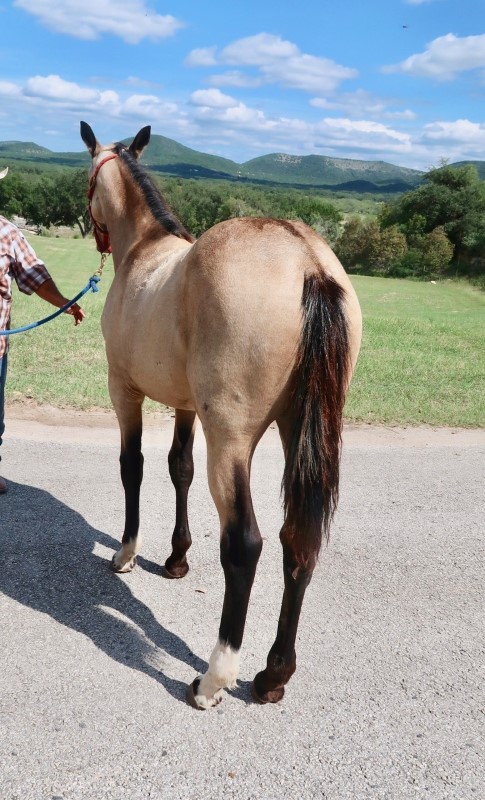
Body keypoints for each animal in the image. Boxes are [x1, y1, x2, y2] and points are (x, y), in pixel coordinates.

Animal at [79, 122, 360, 708]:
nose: (94, 234)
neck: (146, 249)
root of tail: (308, 263)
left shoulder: (124, 393)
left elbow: (133, 468)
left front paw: (128, 551)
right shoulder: (186, 407)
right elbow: (178, 468)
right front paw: (176, 559)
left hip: (231, 440)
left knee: (246, 544)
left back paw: (214, 676)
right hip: (297, 431)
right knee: (297, 541)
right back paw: (273, 674)